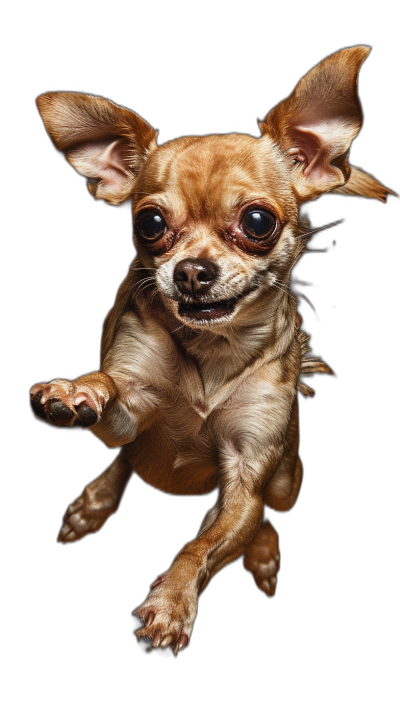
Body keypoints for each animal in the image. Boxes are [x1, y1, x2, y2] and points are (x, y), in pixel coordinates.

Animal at [30, 46, 390, 656]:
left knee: (263, 513)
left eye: (257, 222)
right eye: (150, 223)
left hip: (287, 481)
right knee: (126, 464)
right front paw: (76, 391)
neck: (214, 350)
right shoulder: (129, 415)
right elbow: (110, 391)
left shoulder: (245, 478)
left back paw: (262, 553)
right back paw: (94, 502)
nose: (192, 271)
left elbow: (201, 546)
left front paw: (174, 602)